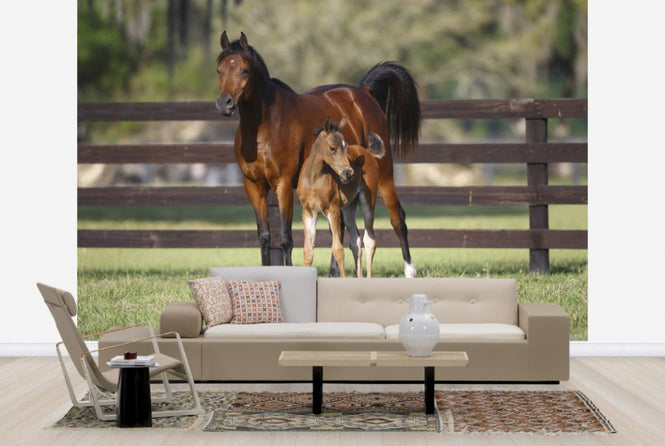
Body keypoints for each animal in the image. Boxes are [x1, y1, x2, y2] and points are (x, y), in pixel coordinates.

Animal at [297, 117, 385, 278]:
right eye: (332, 148)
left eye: (346, 147)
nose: (348, 173)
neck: (314, 180)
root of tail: (368, 153)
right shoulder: (308, 212)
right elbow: (308, 252)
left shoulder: (333, 210)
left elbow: (338, 249)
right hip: (348, 208)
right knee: (355, 241)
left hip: (367, 201)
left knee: (369, 240)